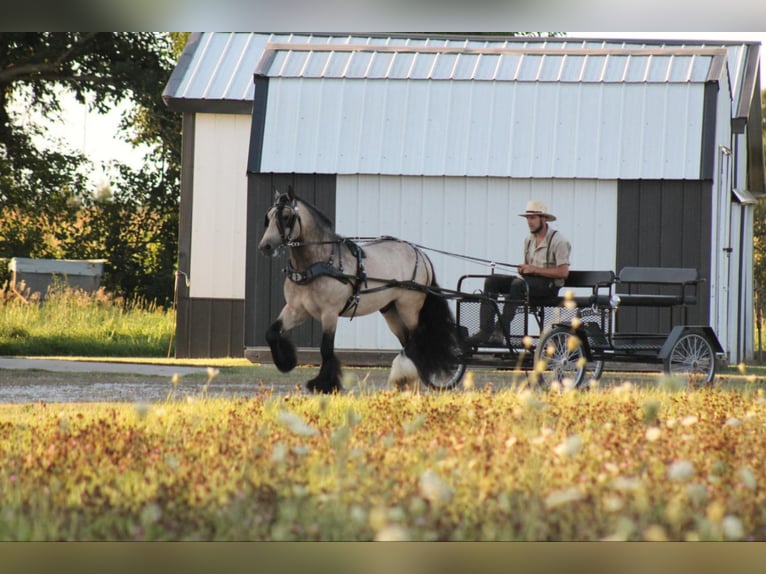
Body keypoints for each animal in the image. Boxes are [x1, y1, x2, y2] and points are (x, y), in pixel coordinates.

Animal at [258, 187, 464, 394]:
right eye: (268, 216)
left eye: (286, 217)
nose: (265, 247)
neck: (318, 264)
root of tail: (420, 254)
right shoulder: (296, 310)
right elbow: (271, 332)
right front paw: (287, 362)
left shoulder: (329, 313)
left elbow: (326, 348)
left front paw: (324, 384)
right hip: (391, 310)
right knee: (408, 341)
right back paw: (406, 380)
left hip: (409, 307)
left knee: (418, 339)